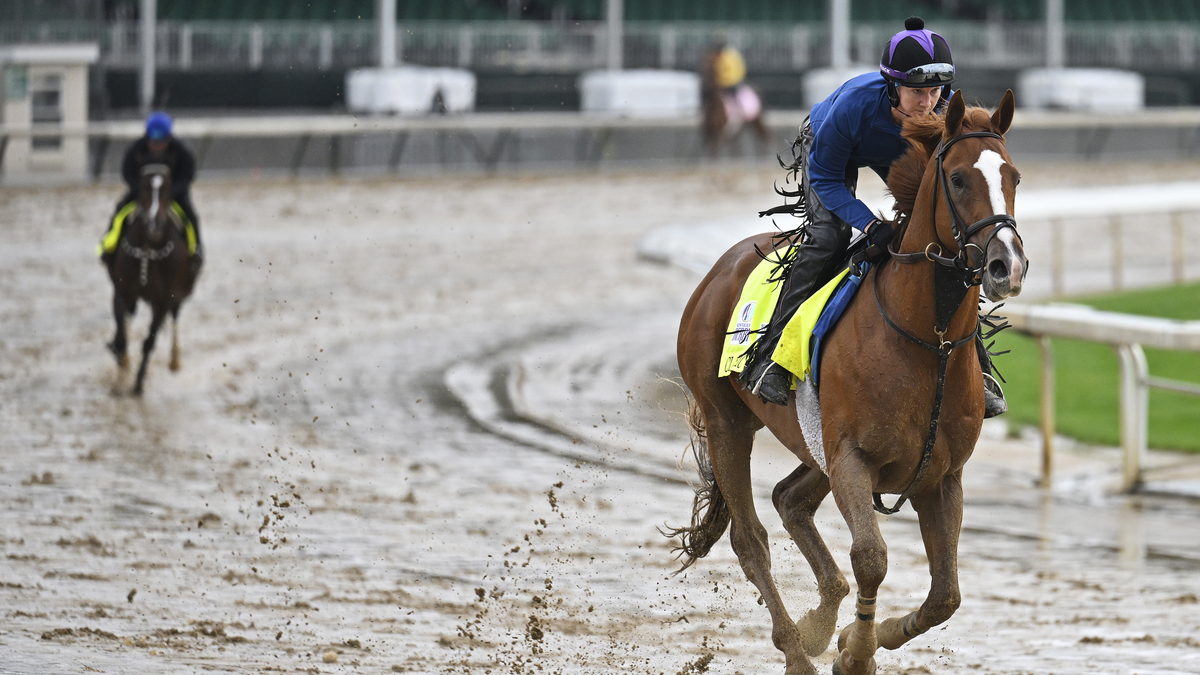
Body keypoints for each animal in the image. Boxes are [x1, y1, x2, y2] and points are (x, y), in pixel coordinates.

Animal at [104, 163, 199, 395]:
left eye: (166, 191)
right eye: (145, 190)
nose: (154, 225)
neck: (148, 249)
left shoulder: (163, 301)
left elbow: (149, 341)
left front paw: (138, 383)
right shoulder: (122, 291)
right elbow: (121, 338)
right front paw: (120, 363)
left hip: (178, 296)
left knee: (174, 318)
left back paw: (174, 360)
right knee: (128, 320)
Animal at [667, 90, 1026, 675]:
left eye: (1014, 176)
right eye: (956, 179)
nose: (1006, 265)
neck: (925, 344)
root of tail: (719, 271)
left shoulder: (941, 474)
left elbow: (946, 594)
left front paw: (870, 634)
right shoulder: (852, 459)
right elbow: (872, 558)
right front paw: (856, 653)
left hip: (812, 445)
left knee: (790, 500)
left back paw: (818, 621)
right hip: (727, 422)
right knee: (750, 539)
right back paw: (797, 650)